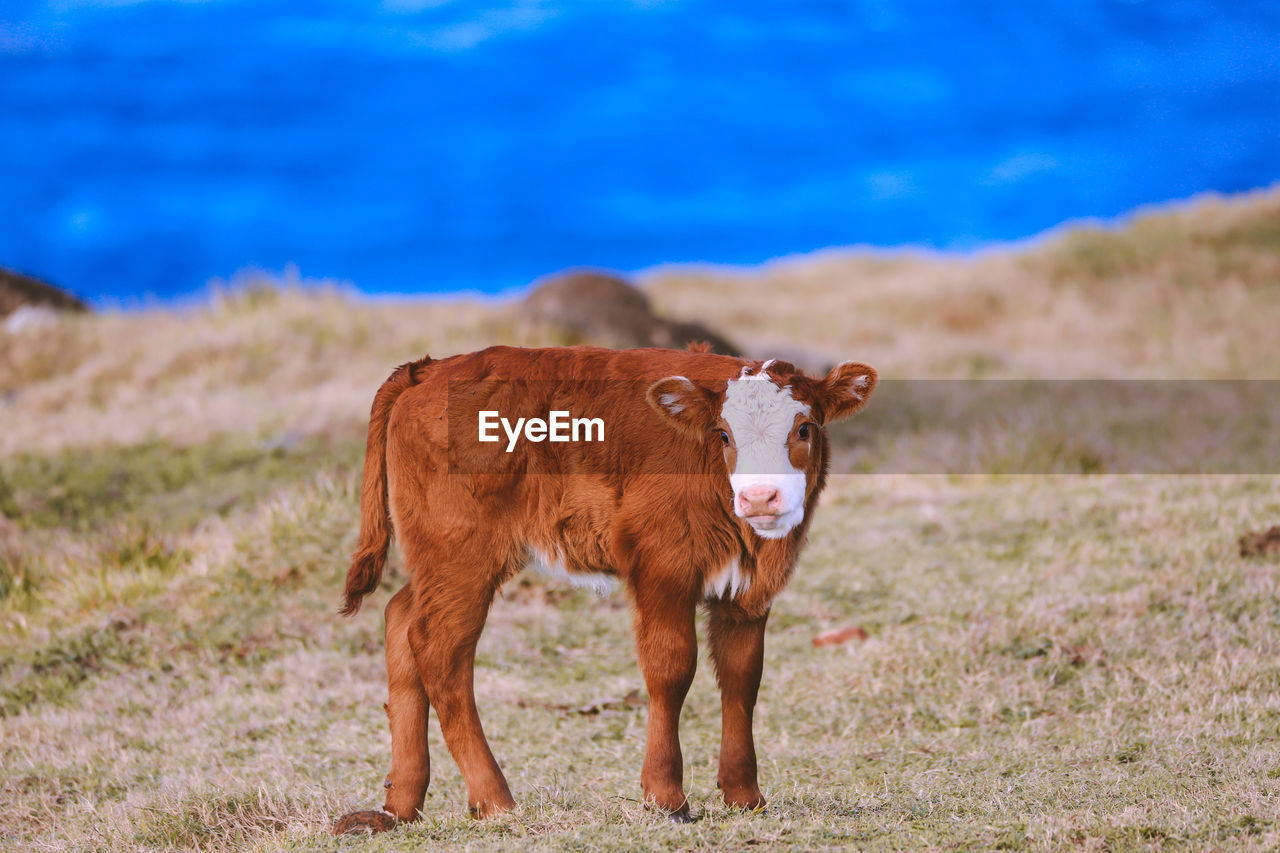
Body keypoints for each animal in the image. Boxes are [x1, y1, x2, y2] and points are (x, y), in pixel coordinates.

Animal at [327, 343, 880, 824]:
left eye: (805, 428)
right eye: (724, 435)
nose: (761, 497)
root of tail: (433, 367)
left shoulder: (748, 589)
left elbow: (742, 676)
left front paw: (745, 795)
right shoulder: (661, 565)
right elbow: (671, 667)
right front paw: (665, 796)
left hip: (439, 560)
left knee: (401, 619)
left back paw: (402, 801)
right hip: (461, 554)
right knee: (440, 649)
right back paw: (494, 799)